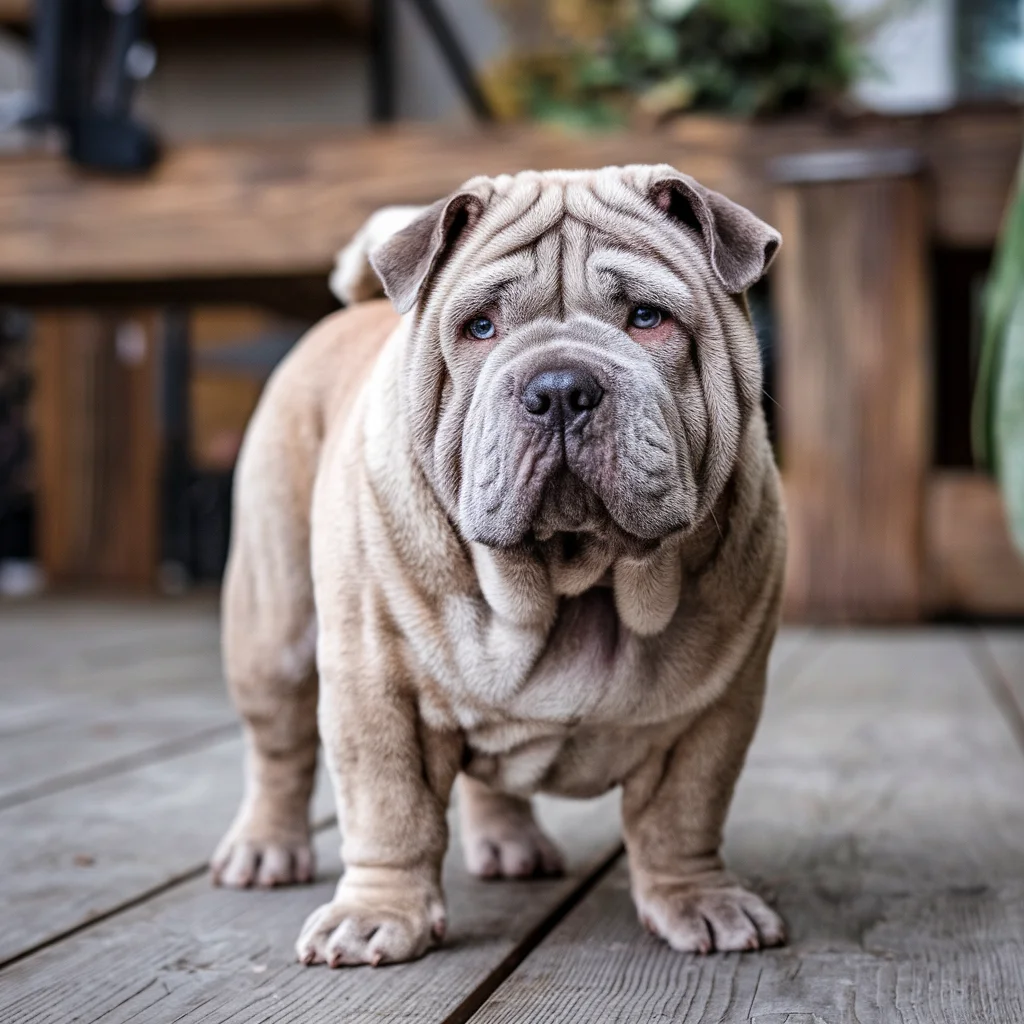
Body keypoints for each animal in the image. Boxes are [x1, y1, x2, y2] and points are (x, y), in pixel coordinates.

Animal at [214, 163, 790, 962]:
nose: (560, 387)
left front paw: (700, 901)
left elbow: (685, 815)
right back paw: (266, 849)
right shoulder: (375, 687)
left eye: (648, 318)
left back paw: (511, 845)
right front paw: (377, 914)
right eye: (480, 327)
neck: (575, 579)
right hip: (274, 629)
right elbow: (388, 810)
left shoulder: (715, 710)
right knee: (278, 747)